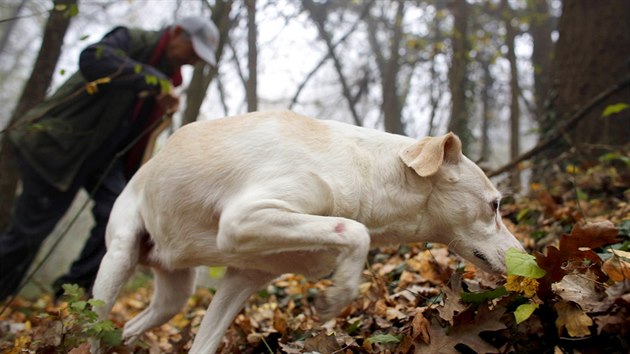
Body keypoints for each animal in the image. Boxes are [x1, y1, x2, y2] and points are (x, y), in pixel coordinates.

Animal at [89, 109, 524, 352]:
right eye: (494, 205)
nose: (529, 259)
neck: (367, 170)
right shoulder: (243, 219)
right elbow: (355, 231)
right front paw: (338, 295)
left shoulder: (245, 277)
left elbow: (204, 344)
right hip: (119, 260)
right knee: (93, 328)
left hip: (175, 297)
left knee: (127, 328)